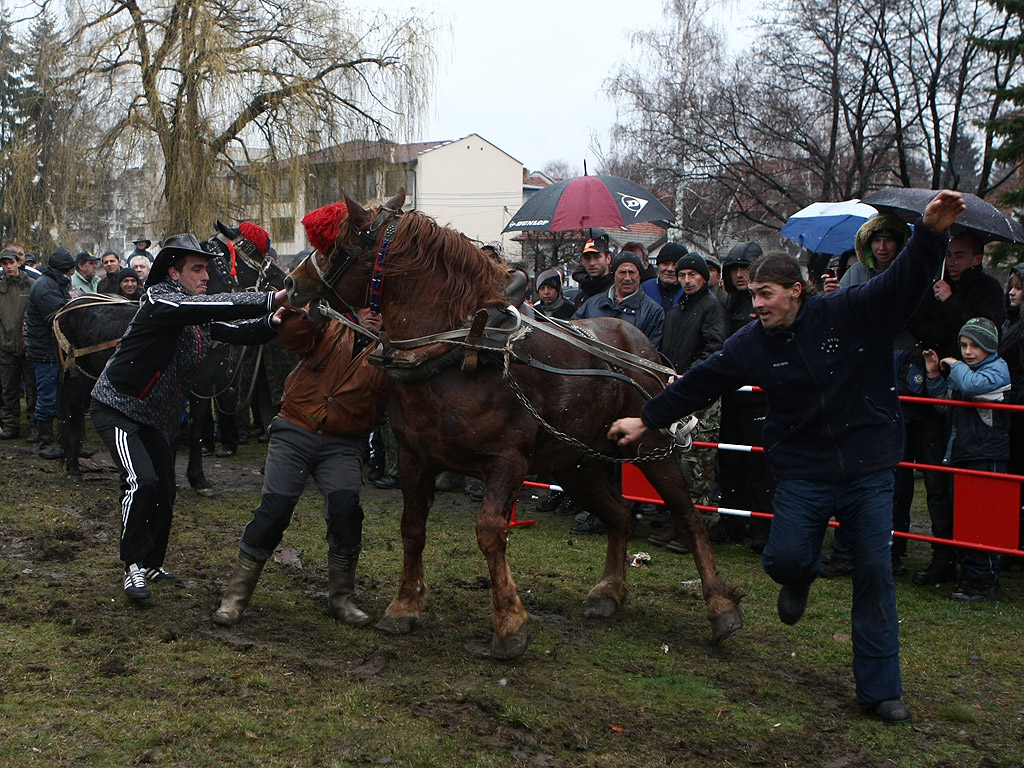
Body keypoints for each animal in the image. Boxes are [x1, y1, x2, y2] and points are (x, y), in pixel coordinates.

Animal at [284, 191, 741, 663]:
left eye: (339, 245)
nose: (291, 283)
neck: (460, 346)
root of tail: (640, 345)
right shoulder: (415, 458)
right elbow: (412, 528)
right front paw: (404, 605)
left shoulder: (506, 460)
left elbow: (490, 532)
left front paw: (509, 625)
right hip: (575, 465)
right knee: (617, 514)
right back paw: (609, 592)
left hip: (649, 450)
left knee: (688, 516)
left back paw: (720, 608)